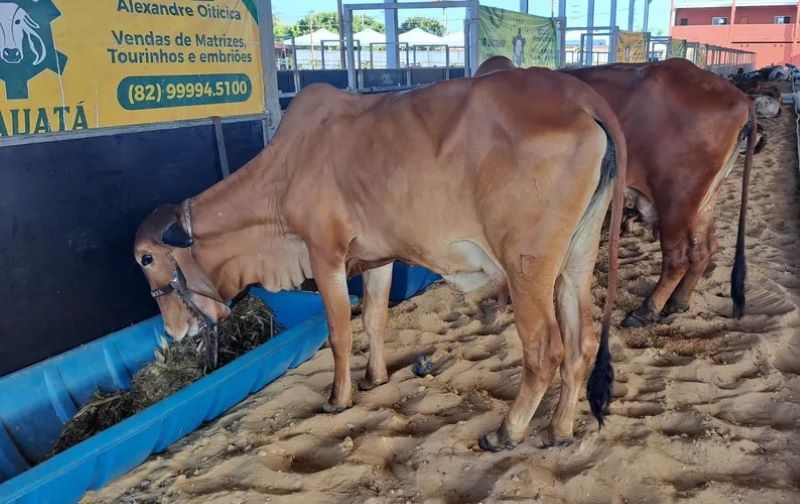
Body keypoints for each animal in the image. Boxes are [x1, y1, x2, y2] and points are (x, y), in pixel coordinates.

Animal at [134, 68, 628, 448]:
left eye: (145, 260)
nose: (173, 332)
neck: (285, 171)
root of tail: (581, 97)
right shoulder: (380, 258)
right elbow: (374, 318)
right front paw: (375, 378)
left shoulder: (324, 254)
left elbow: (339, 333)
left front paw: (339, 397)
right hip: (576, 261)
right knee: (581, 344)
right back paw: (559, 429)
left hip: (527, 268)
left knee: (545, 350)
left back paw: (507, 431)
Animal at [476, 57, 756, 328]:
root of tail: (741, 98)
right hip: (703, 200)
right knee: (705, 249)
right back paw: (678, 302)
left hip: (676, 200)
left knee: (678, 258)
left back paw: (647, 310)